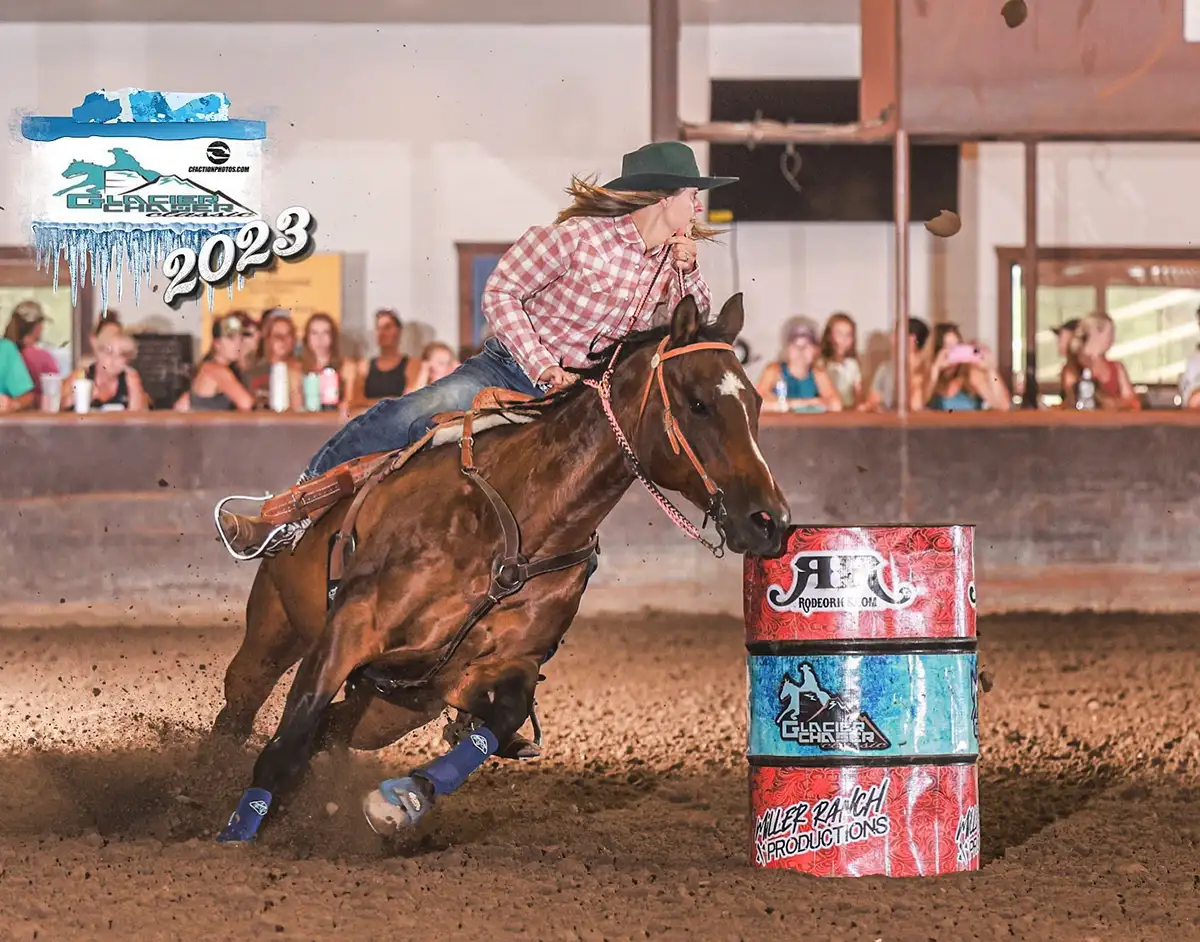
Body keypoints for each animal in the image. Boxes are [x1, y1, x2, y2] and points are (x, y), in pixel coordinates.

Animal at [211, 292, 791, 843]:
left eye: (757, 401)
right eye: (699, 404)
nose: (771, 521)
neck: (514, 533)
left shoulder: (505, 663)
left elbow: (501, 716)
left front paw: (404, 798)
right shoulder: (351, 625)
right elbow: (286, 745)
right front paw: (234, 837)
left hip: (391, 707)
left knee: (333, 728)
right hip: (274, 630)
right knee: (240, 708)